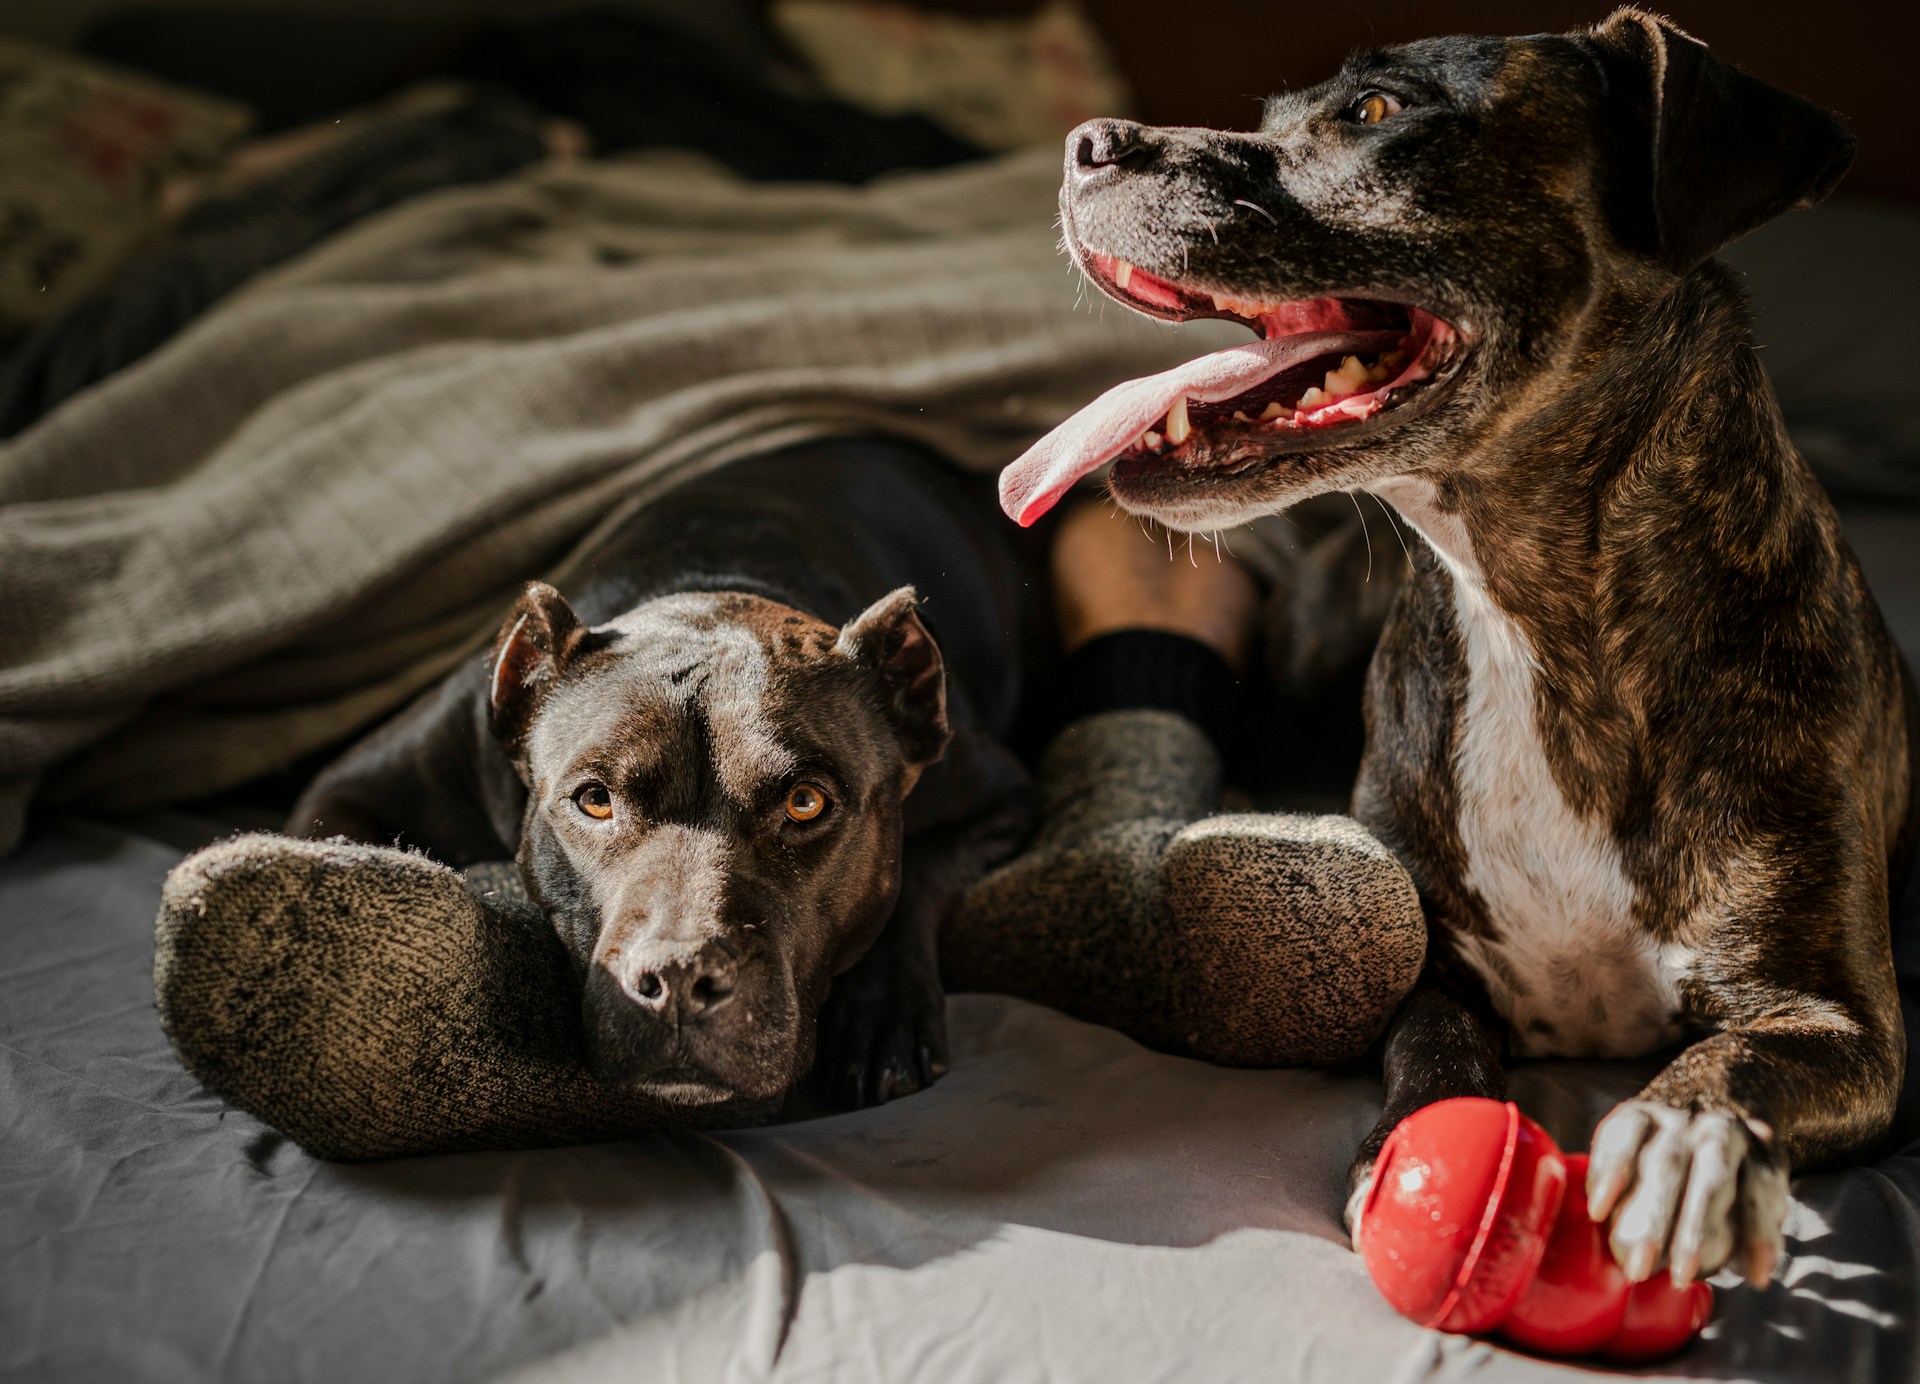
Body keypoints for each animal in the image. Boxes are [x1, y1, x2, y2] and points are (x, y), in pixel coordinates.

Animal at [289, 443, 1029, 1113]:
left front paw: (883, 1022)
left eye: (806, 803)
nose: (679, 977)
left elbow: (918, 876)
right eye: (593, 800)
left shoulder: (1002, 794)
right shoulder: (354, 782)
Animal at [998, 8, 1912, 1282]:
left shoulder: (1844, 1025)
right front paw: (1413, 1150)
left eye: (1377, 112)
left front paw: (1684, 1138)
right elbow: (1435, 1053)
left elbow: (1744, 1056)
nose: (1087, 141)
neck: (1527, 620)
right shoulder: (1431, 970)